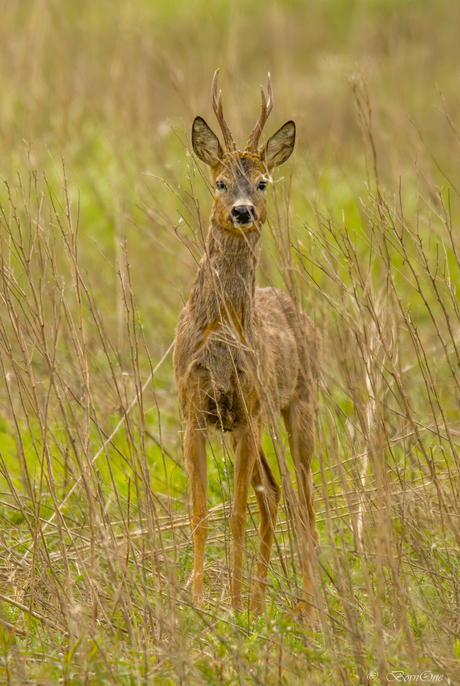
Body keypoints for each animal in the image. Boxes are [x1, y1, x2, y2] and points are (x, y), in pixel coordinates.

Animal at [174, 70, 322, 620]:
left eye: (263, 182)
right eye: (220, 181)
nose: (242, 211)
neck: (220, 336)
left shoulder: (247, 409)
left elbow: (234, 513)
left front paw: (230, 606)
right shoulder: (194, 410)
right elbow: (200, 513)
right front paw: (200, 603)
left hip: (297, 403)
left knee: (302, 500)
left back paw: (308, 610)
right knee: (275, 493)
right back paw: (260, 604)